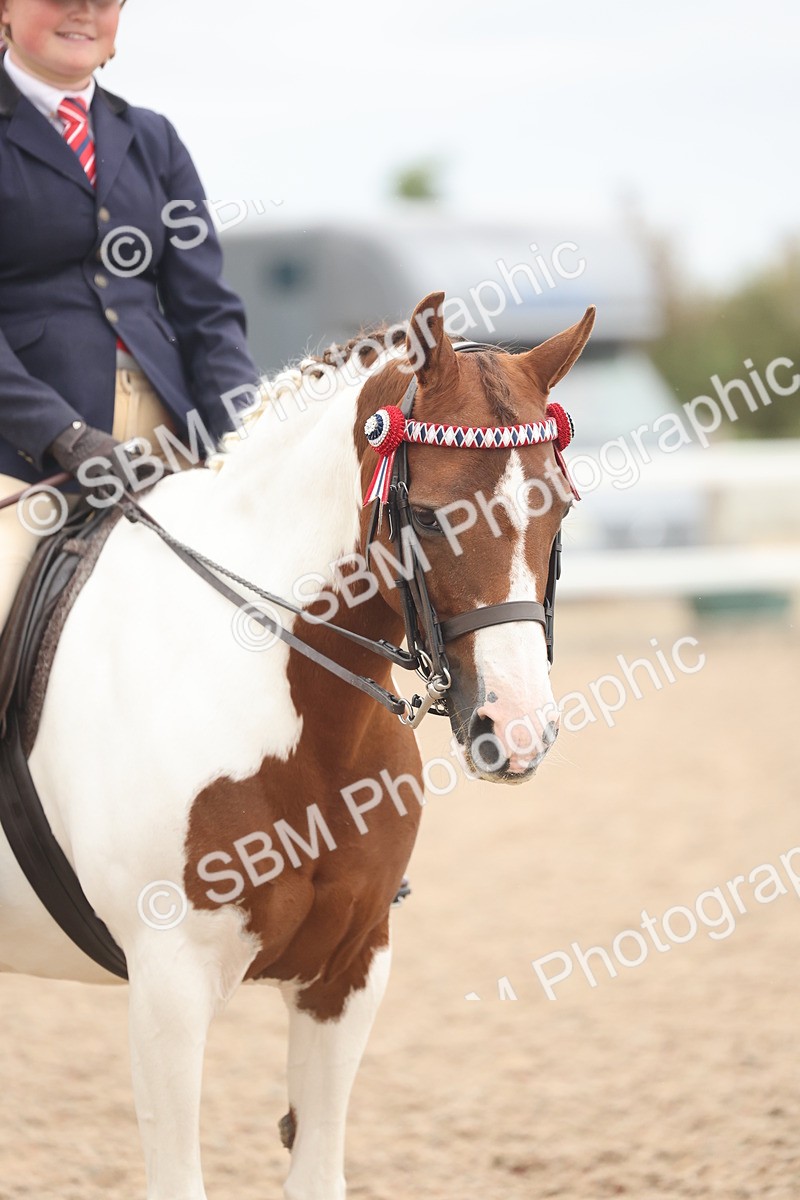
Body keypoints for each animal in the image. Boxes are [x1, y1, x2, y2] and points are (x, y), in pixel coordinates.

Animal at [0, 290, 594, 1200]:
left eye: (556, 507)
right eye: (430, 515)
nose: (518, 730)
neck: (308, 729)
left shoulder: (347, 972)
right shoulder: (169, 987)